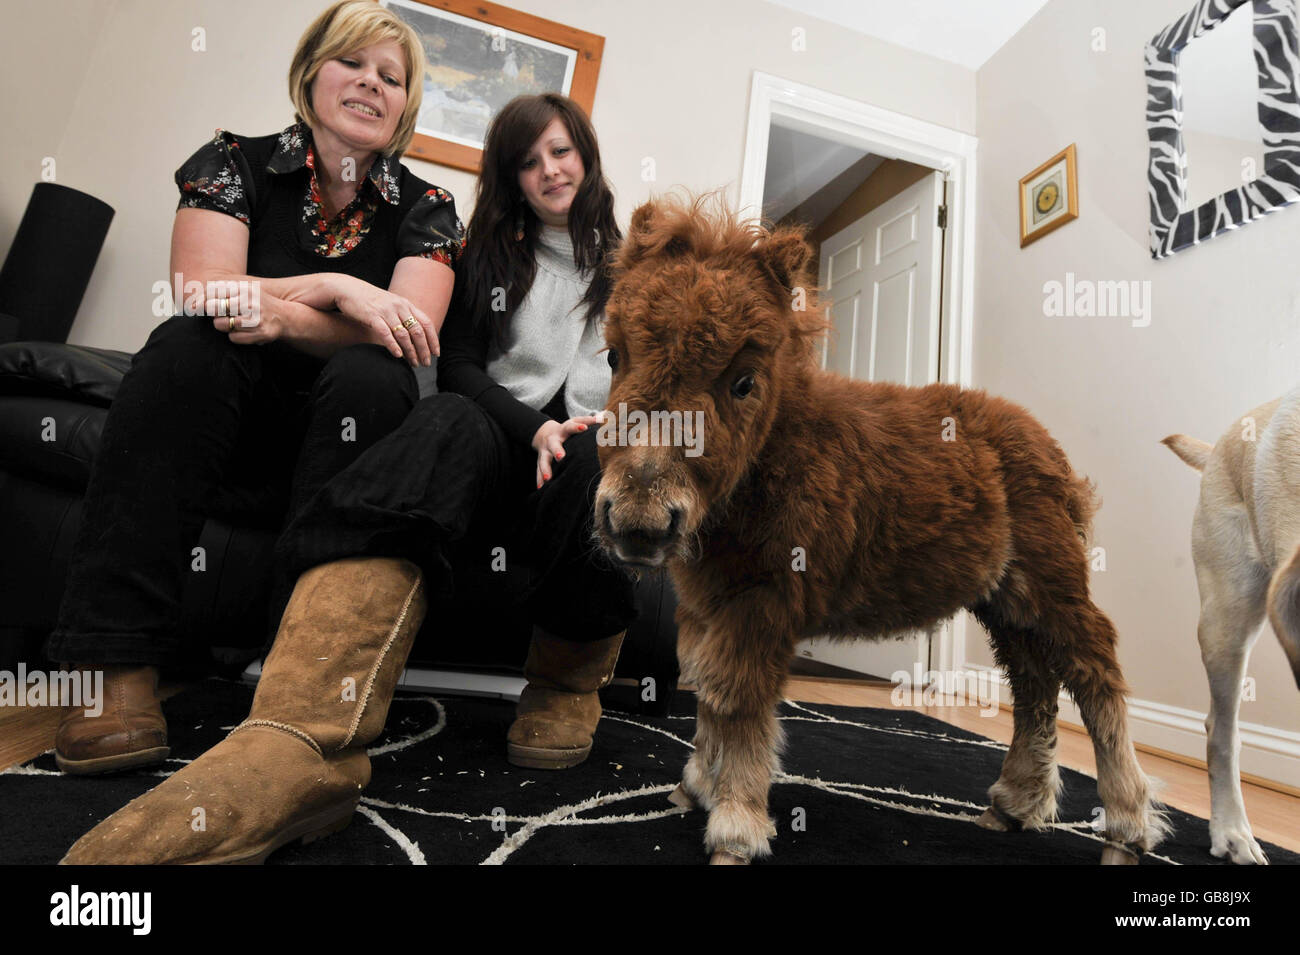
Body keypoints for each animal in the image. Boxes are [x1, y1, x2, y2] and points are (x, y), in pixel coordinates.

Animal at [595, 194, 1175, 867]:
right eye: (614, 355)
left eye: (743, 381)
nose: (637, 521)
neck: (778, 450)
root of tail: (1050, 452)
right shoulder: (709, 604)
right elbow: (710, 691)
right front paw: (694, 790)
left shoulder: (764, 600)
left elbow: (738, 696)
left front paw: (734, 830)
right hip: (1006, 602)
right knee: (1034, 683)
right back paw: (1012, 808)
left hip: (1051, 581)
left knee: (1092, 667)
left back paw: (1126, 830)